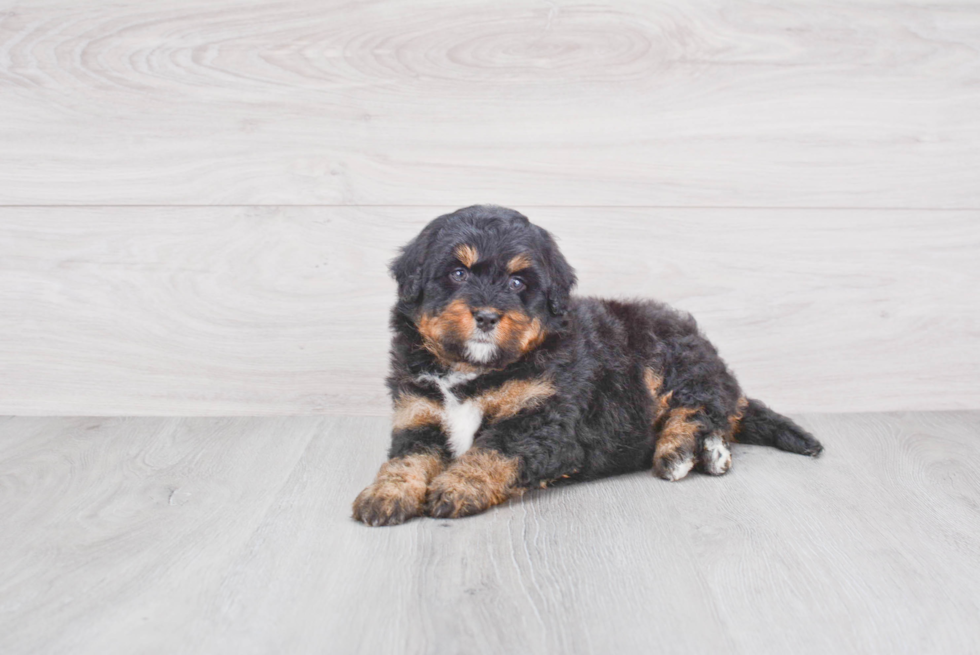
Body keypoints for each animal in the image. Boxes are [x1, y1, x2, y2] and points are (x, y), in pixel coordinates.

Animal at [348, 206, 824, 528]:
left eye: (518, 282)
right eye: (458, 273)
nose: (485, 316)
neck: (475, 370)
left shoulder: (545, 424)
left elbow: (494, 450)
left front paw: (457, 486)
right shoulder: (418, 413)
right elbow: (406, 458)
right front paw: (385, 494)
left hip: (672, 361)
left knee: (704, 409)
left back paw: (683, 452)